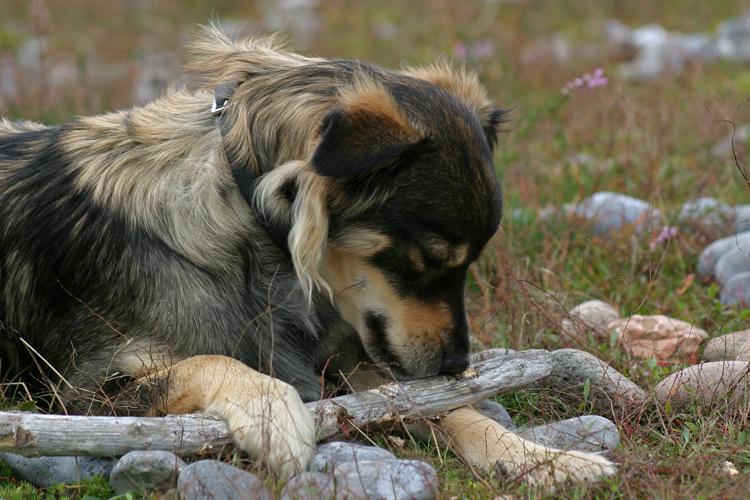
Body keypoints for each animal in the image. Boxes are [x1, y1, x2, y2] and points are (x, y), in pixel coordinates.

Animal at [1, 26, 616, 484]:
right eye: (424, 260)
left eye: (466, 267)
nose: (455, 367)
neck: (248, 224)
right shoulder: (79, 392)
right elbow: (210, 361)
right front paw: (274, 412)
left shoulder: (352, 359)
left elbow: (448, 410)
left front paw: (541, 458)